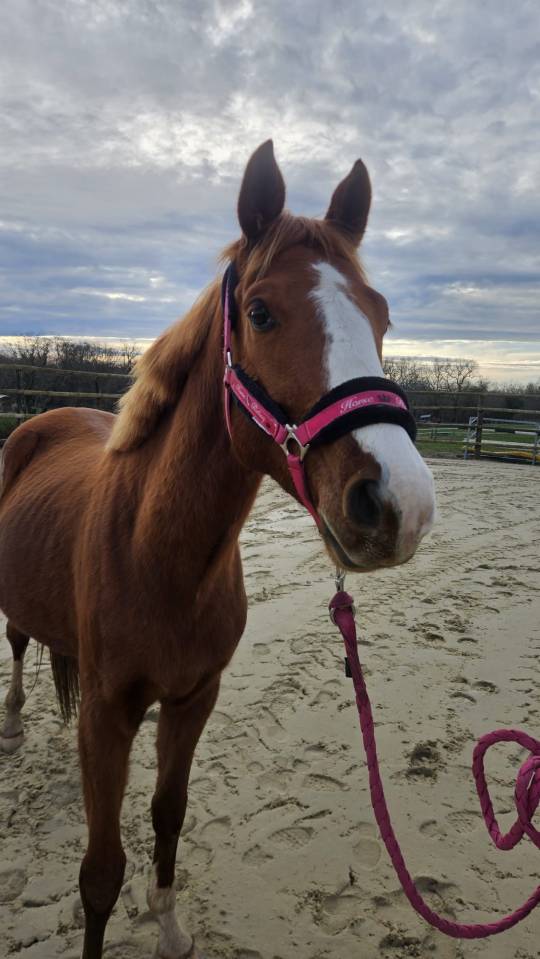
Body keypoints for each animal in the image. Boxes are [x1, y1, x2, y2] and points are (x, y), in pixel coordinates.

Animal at [0, 140, 436, 959]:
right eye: (261, 312)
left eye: (383, 315)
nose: (402, 503)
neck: (158, 557)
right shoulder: (106, 713)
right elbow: (99, 872)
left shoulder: (194, 697)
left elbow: (168, 812)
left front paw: (169, 924)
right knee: (14, 640)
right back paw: (10, 722)